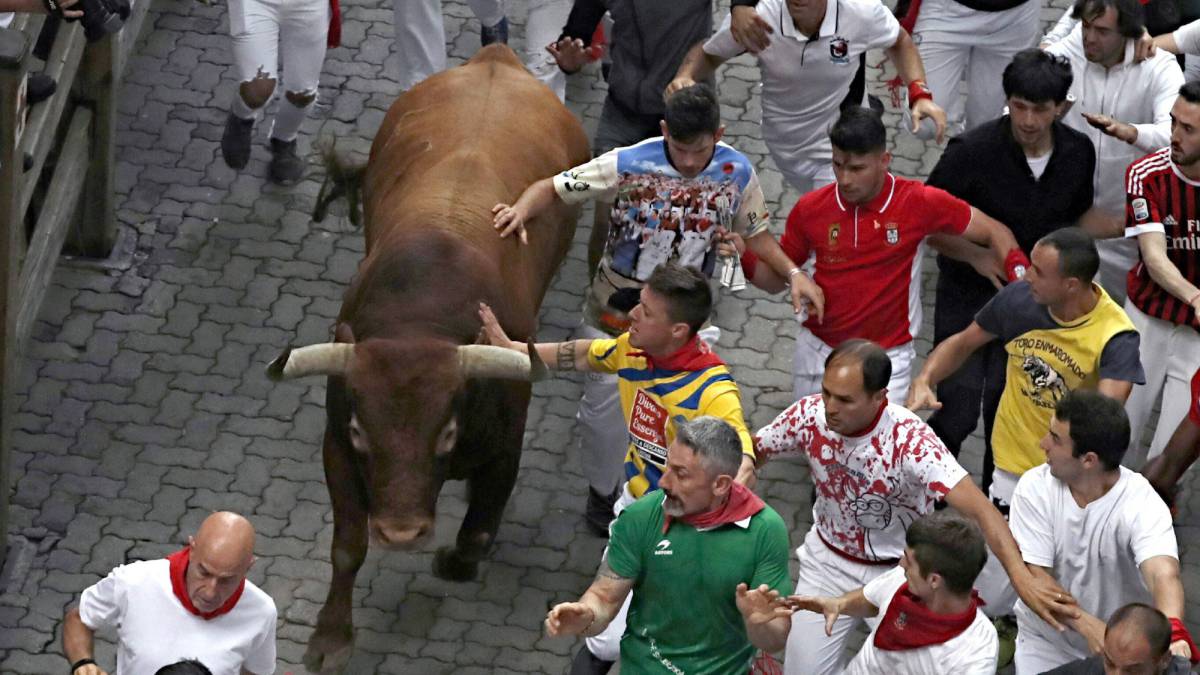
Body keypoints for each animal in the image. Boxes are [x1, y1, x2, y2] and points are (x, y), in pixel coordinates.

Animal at [265, 44, 588, 667]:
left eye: (447, 433)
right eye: (363, 432)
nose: (401, 532)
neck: (422, 312)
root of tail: (496, 59)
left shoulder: (507, 447)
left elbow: (478, 532)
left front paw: (454, 562)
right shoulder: (336, 447)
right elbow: (347, 546)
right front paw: (330, 637)